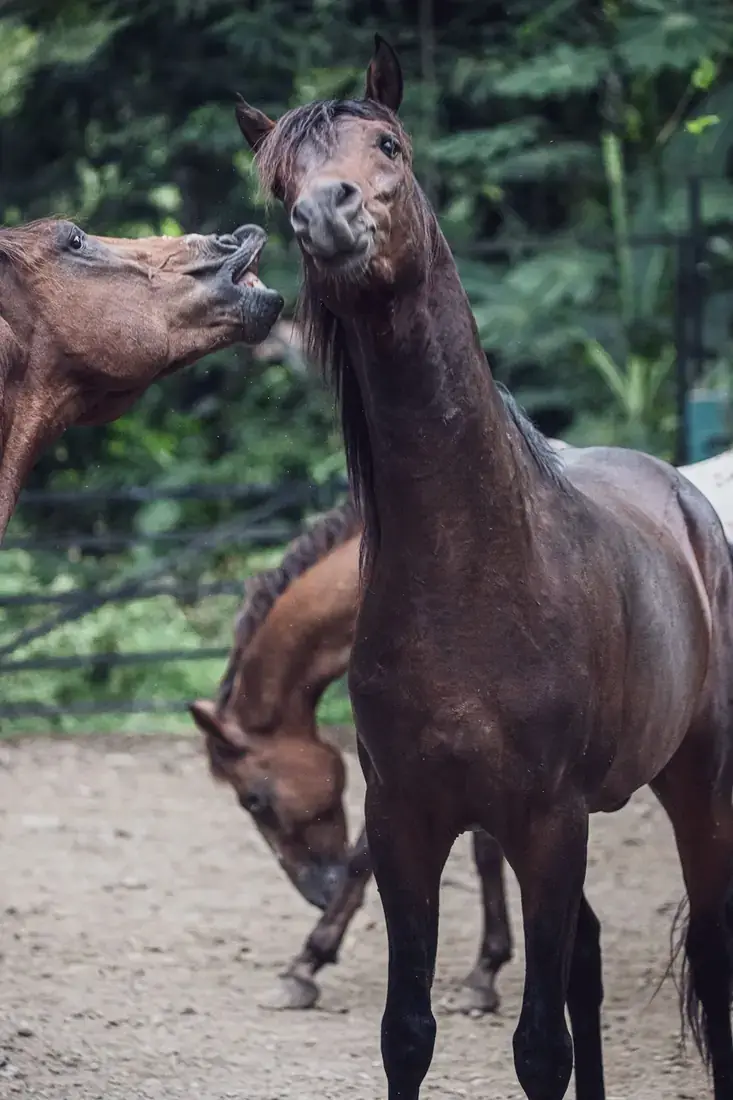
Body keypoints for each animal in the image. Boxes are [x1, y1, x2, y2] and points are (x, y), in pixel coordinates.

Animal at [236, 35, 733, 1100]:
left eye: (387, 145)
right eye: (280, 182)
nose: (324, 214)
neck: (473, 568)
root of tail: (686, 501)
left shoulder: (544, 819)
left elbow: (538, 1047)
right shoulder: (411, 819)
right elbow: (407, 1031)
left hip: (695, 787)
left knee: (708, 966)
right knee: (584, 965)